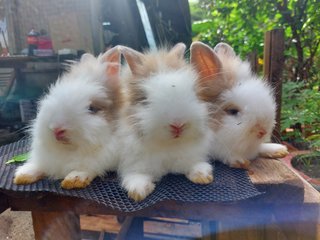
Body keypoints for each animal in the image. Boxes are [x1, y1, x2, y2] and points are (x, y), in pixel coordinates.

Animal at [13, 46, 122, 189]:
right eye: (52, 94)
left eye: (92, 108)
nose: (57, 129)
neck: (69, 150)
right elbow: (40, 165)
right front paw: (23, 175)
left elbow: (88, 167)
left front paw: (74, 180)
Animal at [117, 44, 212, 202]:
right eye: (145, 99)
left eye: (193, 91)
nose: (178, 125)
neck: (168, 145)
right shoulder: (134, 160)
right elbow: (136, 174)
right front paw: (139, 191)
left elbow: (193, 163)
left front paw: (202, 175)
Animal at [190, 41, 288, 169]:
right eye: (233, 111)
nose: (262, 131)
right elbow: (221, 153)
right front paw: (239, 161)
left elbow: (260, 148)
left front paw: (279, 149)